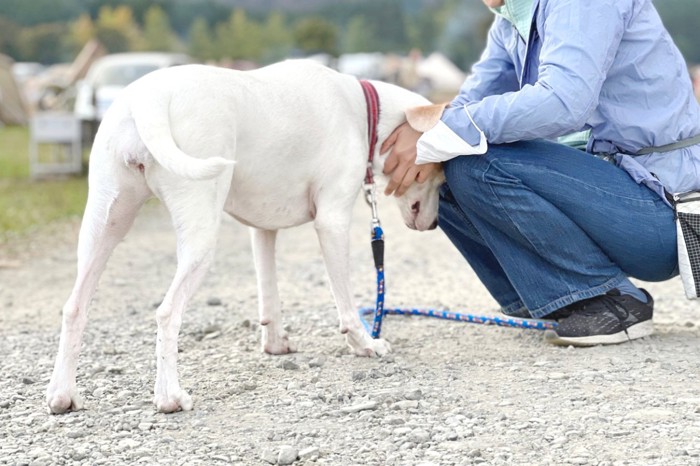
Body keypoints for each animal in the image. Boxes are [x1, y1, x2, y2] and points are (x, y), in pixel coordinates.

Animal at [46, 60, 446, 414]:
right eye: (438, 173)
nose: (432, 226)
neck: (363, 111)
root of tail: (148, 98)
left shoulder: (263, 230)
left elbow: (270, 296)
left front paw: (275, 344)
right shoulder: (332, 223)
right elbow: (346, 303)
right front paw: (365, 344)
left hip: (104, 226)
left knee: (74, 307)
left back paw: (63, 396)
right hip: (199, 235)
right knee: (167, 313)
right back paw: (169, 398)